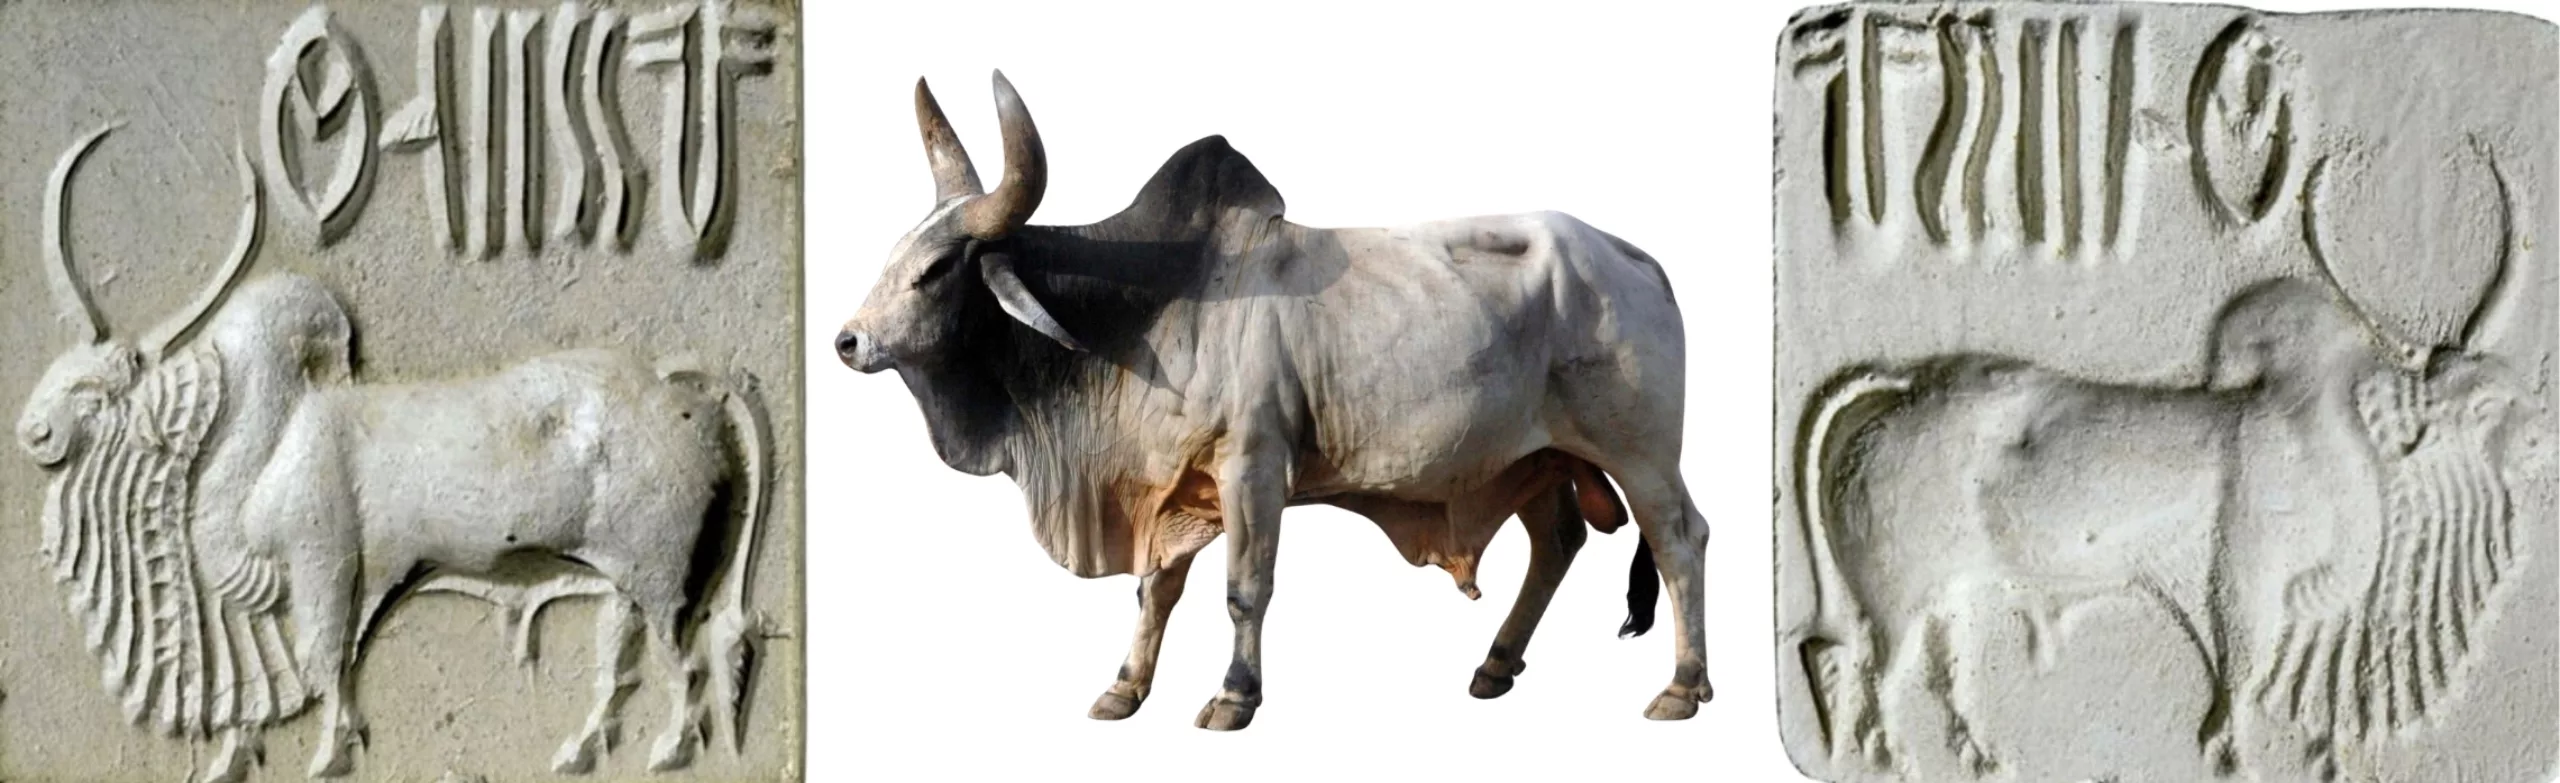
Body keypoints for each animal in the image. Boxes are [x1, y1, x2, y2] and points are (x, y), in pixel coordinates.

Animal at [834, 71, 1711, 729]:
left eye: (936, 269)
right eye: (895, 252)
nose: (848, 340)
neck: (1145, 307)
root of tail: (1636, 258)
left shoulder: (1252, 468)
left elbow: (1243, 587)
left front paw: (1233, 695)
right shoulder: (1173, 490)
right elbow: (1157, 589)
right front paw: (1125, 686)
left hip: (1639, 452)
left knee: (1679, 538)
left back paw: (1682, 685)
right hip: (1537, 458)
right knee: (1558, 540)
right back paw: (1495, 664)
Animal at [1786, 139, 2536, 780]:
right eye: (2481, 407)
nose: (2537, 443)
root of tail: (1905, 389)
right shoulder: (2249, 578)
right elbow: (2243, 671)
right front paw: (2233, 754)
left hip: (1953, 593)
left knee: (1933, 670)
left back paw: (1978, 754)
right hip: (1898, 594)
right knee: (1877, 672)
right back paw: (1894, 758)